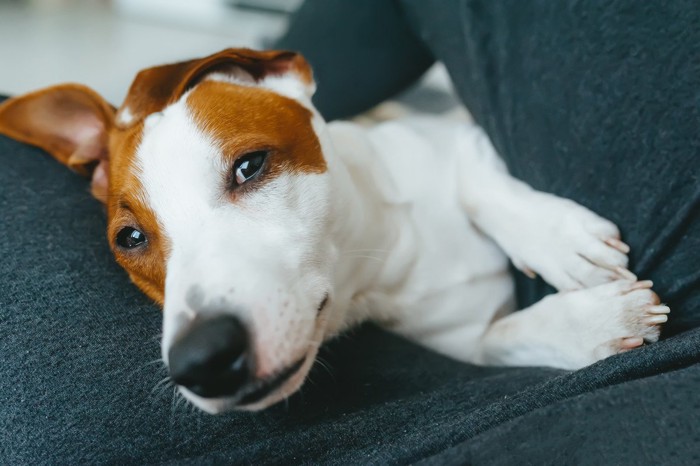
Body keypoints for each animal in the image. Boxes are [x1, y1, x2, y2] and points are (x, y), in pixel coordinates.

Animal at [0, 48, 668, 412]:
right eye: (130, 239)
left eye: (250, 165)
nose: (202, 359)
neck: (384, 253)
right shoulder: (474, 340)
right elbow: (508, 337)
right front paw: (594, 323)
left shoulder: (454, 134)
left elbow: (481, 185)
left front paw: (560, 241)